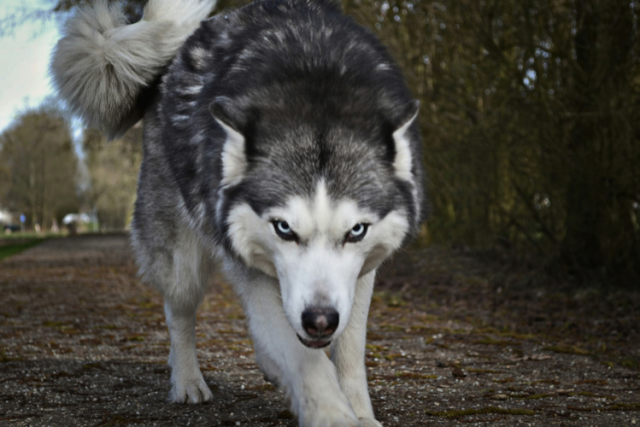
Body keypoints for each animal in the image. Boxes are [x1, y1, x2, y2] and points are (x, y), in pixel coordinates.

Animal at [53, 0, 424, 424]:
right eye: (284, 228)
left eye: (356, 231)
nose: (319, 320)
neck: (317, 84)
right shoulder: (250, 267)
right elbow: (304, 359)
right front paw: (332, 413)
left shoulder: (359, 277)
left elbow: (348, 349)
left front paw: (360, 413)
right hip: (182, 261)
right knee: (178, 314)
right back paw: (187, 382)